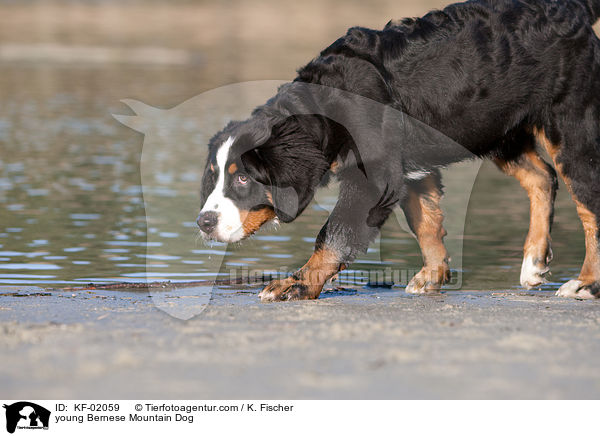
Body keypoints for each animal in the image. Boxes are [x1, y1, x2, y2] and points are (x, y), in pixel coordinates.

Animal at [198, 0, 600, 300]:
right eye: (214, 177)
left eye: (244, 179)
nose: (203, 222)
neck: (327, 105)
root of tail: (571, 10)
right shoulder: (409, 172)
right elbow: (426, 223)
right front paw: (432, 276)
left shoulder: (373, 179)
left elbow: (333, 235)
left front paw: (295, 284)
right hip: (497, 130)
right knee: (542, 177)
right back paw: (533, 263)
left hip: (571, 128)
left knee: (589, 203)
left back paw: (585, 284)